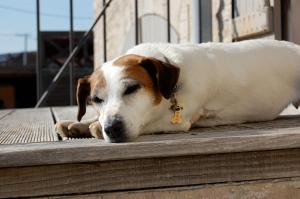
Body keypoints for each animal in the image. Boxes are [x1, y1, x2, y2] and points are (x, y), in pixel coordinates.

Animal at [55, 39, 300, 142]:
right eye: (96, 99)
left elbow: (149, 123)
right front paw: (77, 124)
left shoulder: (177, 121)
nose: (112, 128)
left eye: (132, 88)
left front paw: (94, 127)